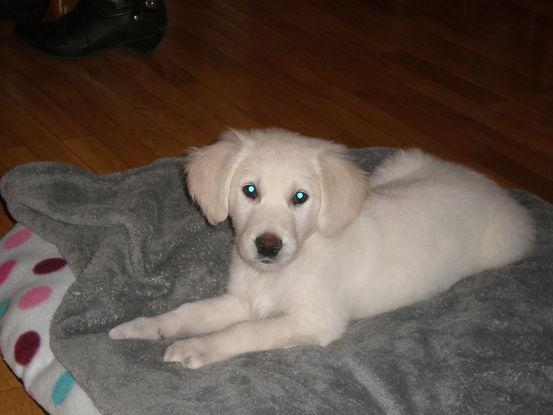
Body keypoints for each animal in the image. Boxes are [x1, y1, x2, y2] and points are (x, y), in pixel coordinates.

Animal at [109, 128, 536, 368]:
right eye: (250, 190)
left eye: (300, 197)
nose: (267, 246)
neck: (286, 268)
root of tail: (497, 190)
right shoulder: (243, 299)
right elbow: (190, 311)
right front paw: (145, 327)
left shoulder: (314, 320)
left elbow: (244, 332)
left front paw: (197, 347)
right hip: (396, 167)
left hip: (501, 248)